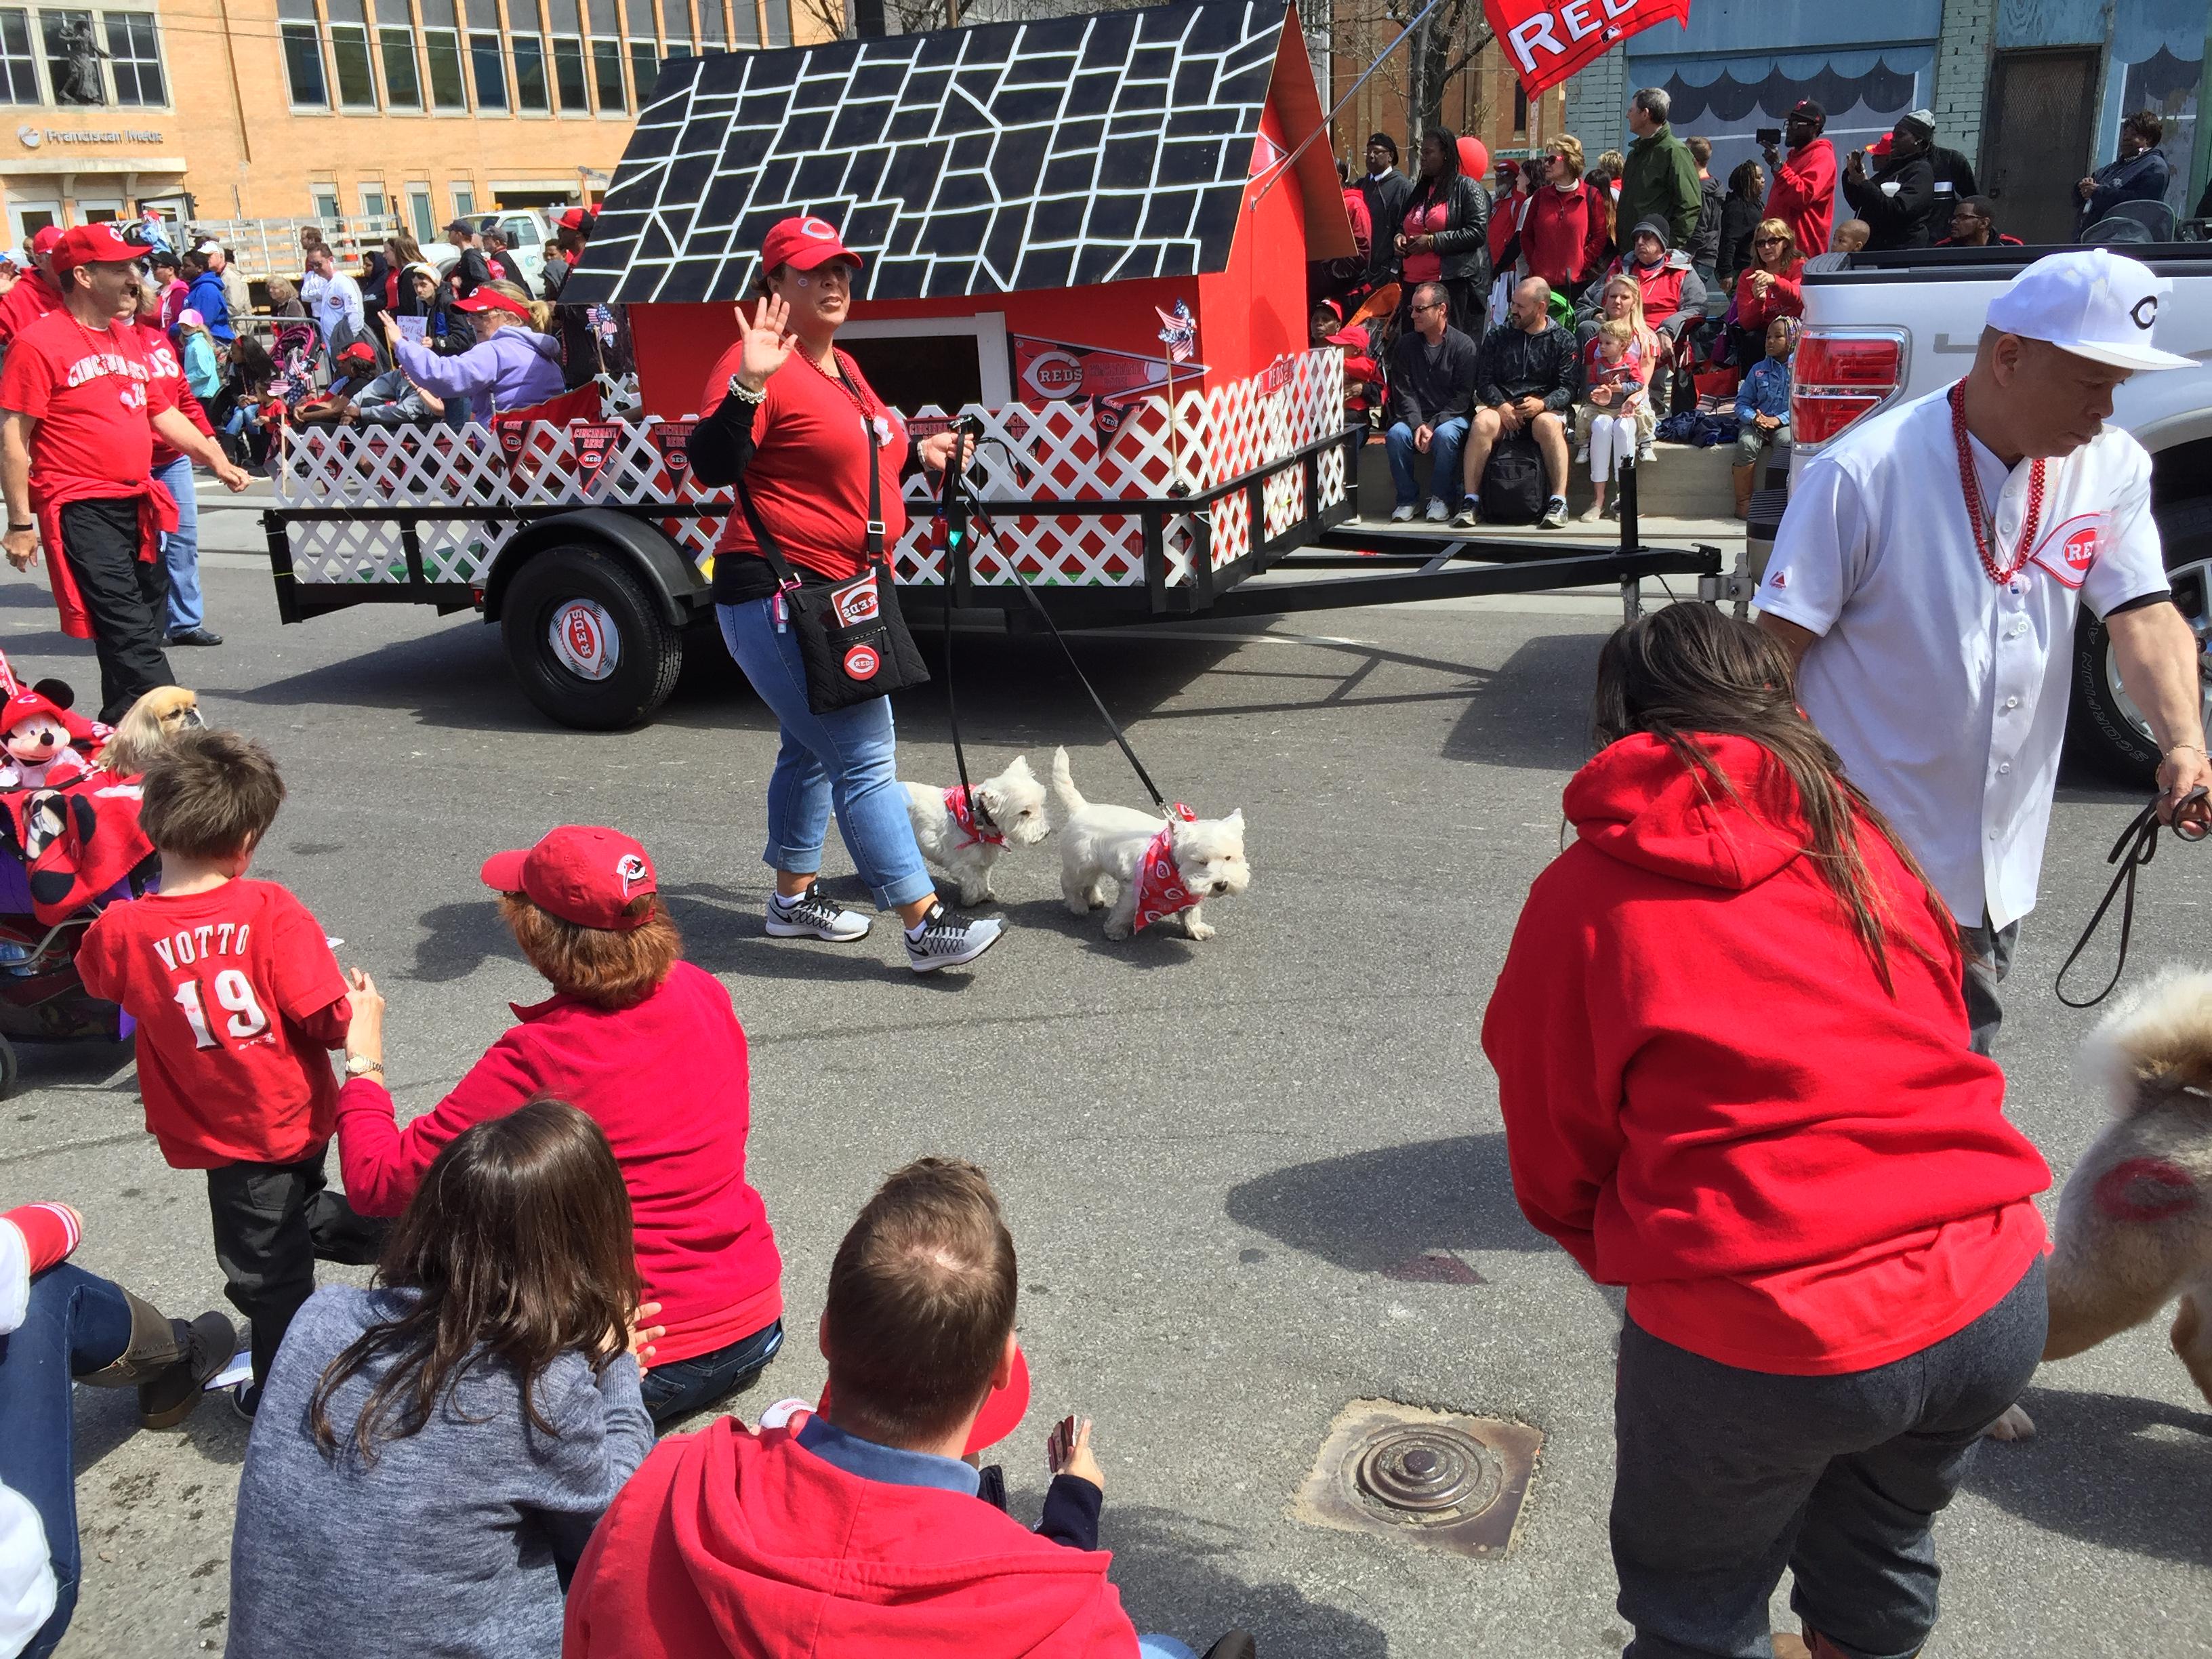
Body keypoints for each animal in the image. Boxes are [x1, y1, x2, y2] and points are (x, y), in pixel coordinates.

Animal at [902, 756, 1048, 911]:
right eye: (1024, 812)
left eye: (1040, 805)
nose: (1046, 832)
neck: (978, 817)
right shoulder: (962, 862)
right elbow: (973, 882)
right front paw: (972, 899)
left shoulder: (984, 855)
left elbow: (983, 877)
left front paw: (986, 893)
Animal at [1040, 752, 1247, 942]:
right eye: (1201, 862)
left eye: (1228, 857)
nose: (1221, 885)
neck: (1169, 860)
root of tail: (1082, 808)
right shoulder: (1134, 888)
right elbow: (1125, 910)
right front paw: (1115, 931)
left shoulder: (1188, 892)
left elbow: (1191, 911)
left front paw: (1196, 929)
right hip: (1081, 863)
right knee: (1069, 883)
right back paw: (1078, 906)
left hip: (1092, 864)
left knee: (1090, 881)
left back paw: (1094, 900)